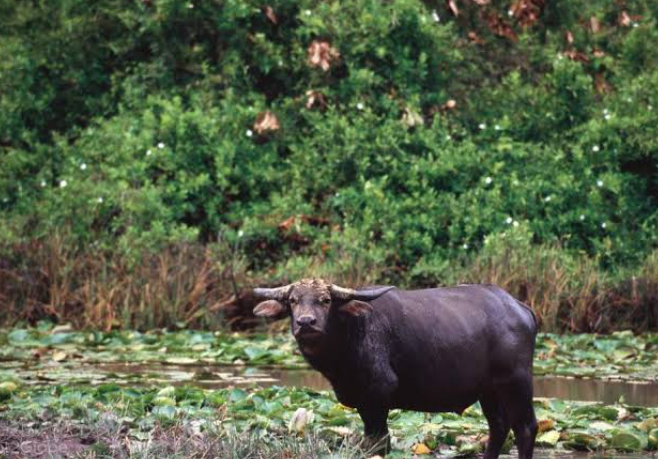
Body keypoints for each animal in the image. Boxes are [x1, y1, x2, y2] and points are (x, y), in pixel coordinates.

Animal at [253, 278, 538, 458]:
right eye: (293, 300)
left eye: (325, 300)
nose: (306, 323)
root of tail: (521, 309)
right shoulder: (363, 402)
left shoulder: (378, 395)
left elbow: (380, 443)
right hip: (489, 391)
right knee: (498, 426)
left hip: (517, 382)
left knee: (525, 427)